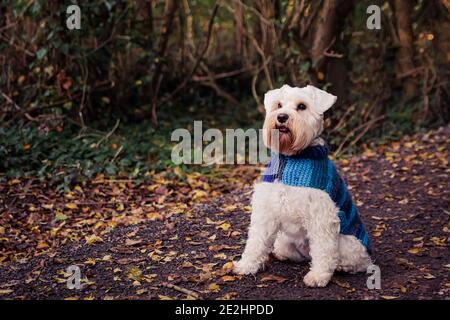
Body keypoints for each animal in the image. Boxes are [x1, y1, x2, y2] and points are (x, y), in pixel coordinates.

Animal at [234, 84, 370, 286]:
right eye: (278, 104)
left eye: (302, 106)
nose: (282, 117)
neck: (291, 158)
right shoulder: (266, 211)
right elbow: (256, 242)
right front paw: (246, 265)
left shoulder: (322, 216)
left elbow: (323, 249)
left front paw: (318, 276)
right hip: (285, 241)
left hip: (349, 244)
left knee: (353, 261)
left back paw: (340, 266)